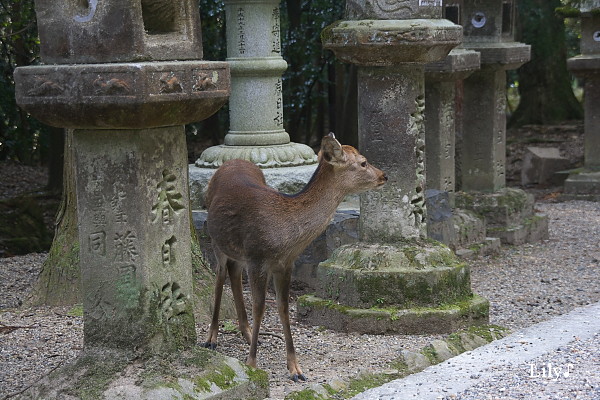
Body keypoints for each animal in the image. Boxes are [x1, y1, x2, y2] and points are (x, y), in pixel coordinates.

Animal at [204, 134, 386, 382]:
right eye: (363, 162)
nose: (384, 175)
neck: (285, 237)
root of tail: (231, 162)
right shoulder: (257, 258)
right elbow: (260, 307)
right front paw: (251, 363)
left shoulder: (285, 264)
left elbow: (283, 307)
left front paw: (295, 369)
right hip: (217, 241)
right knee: (220, 278)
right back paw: (211, 338)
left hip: (238, 253)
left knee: (233, 274)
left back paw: (248, 334)